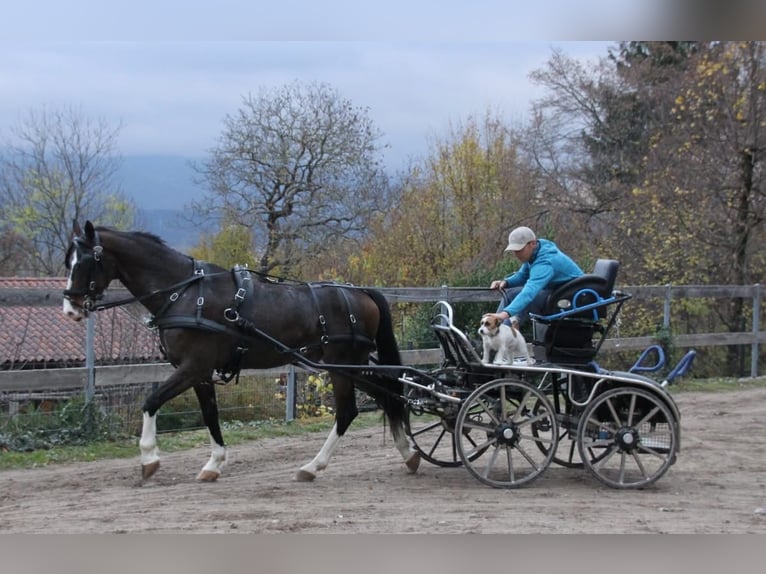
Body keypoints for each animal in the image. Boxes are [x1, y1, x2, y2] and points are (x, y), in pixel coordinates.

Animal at [62, 220, 420, 482]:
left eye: (85, 262)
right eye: (68, 261)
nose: (70, 308)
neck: (185, 293)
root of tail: (361, 293)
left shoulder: (193, 366)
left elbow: (151, 401)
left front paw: (149, 458)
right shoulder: (200, 372)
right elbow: (210, 414)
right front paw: (214, 463)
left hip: (341, 365)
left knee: (348, 412)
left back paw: (313, 466)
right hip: (351, 365)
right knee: (388, 396)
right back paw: (409, 454)